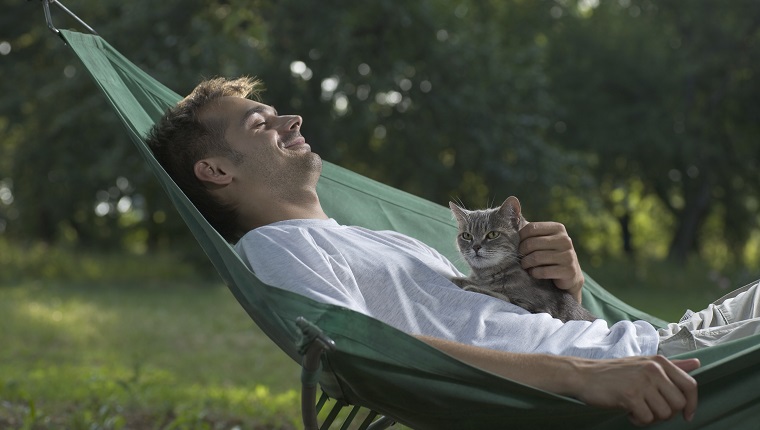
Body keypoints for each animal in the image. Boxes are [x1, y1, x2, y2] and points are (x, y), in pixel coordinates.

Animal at [448, 196, 596, 322]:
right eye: (467, 236)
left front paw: (471, 286)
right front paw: (458, 279)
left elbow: (501, 296)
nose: (476, 247)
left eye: (493, 234)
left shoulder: (538, 308)